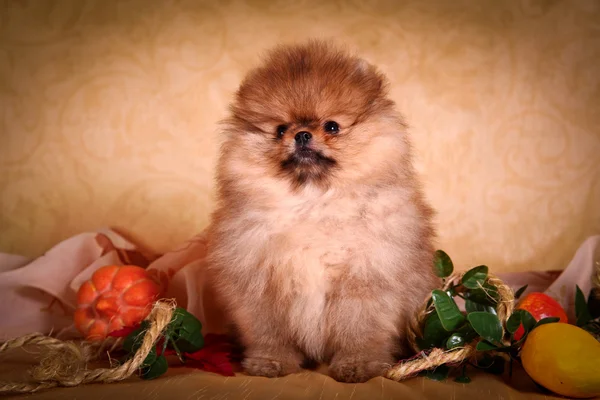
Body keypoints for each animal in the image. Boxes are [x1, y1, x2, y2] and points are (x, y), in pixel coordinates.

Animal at [206, 39, 440, 382]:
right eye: (280, 130)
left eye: (332, 126)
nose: (302, 134)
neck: (313, 202)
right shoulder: (262, 286)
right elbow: (270, 334)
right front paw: (271, 362)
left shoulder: (364, 280)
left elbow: (358, 332)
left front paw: (357, 365)